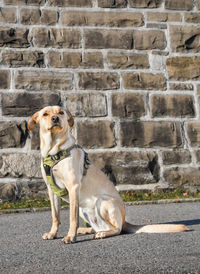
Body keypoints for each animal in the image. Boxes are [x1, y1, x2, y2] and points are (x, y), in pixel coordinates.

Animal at [27, 105, 188, 244]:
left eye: (61, 112)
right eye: (45, 114)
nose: (55, 118)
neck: (54, 151)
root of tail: (124, 220)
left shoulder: (73, 187)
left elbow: (72, 218)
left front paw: (70, 236)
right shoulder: (51, 190)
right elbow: (55, 216)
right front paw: (53, 233)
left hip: (102, 201)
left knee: (117, 229)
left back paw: (101, 233)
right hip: (83, 209)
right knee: (98, 227)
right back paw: (86, 230)